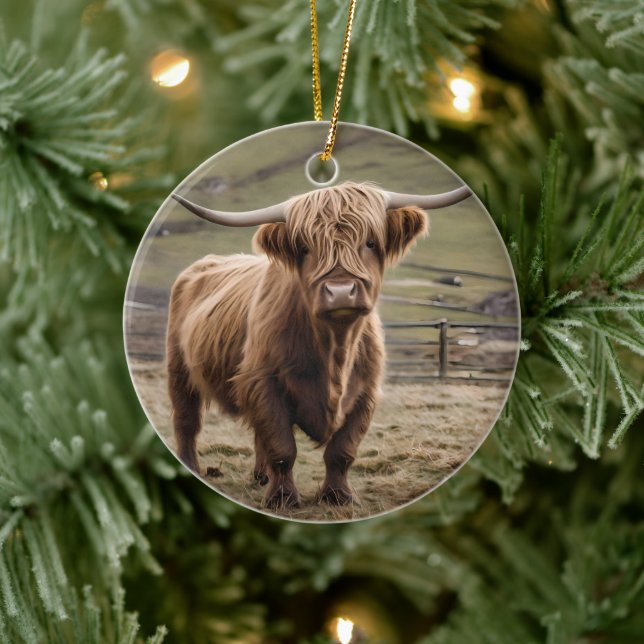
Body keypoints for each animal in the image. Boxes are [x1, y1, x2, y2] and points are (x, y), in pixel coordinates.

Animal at [166, 181, 471, 509]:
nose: (340, 291)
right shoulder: (265, 384)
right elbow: (282, 447)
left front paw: (339, 496)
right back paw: (192, 467)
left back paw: (261, 476)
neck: (335, 351)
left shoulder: (365, 392)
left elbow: (342, 450)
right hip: (179, 368)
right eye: (304, 248)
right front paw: (283, 498)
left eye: (371, 242)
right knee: (186, 420)